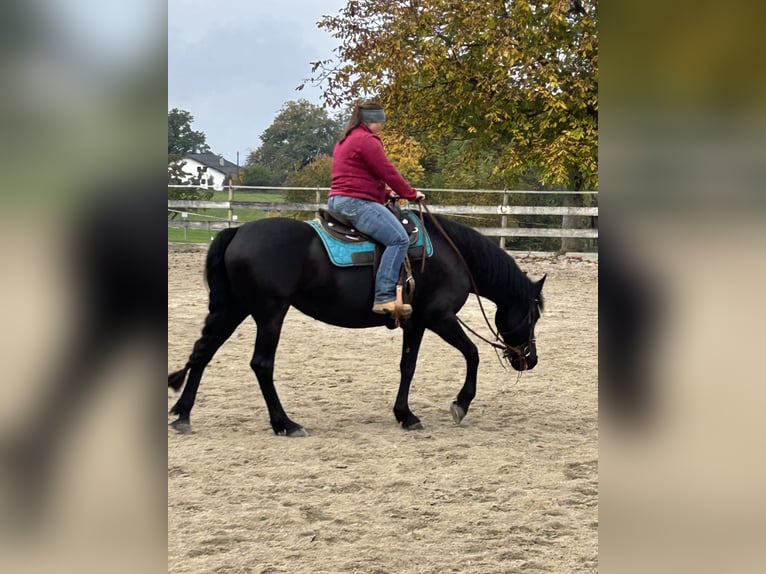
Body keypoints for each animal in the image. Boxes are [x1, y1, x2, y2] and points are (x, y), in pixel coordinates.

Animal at [168, 210, 545, 436]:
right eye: (533, 315)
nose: (530, 360)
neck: (454, 255)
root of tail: (237, 231)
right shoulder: (439, 317)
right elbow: (472, 354)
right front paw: (460, 405)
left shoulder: (415, 322)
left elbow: (408, 366)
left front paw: (405, 414)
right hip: (270, 313)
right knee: (261, 364)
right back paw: (284, 423)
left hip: (234, 308)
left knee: (203, 352)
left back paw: (183, 415)